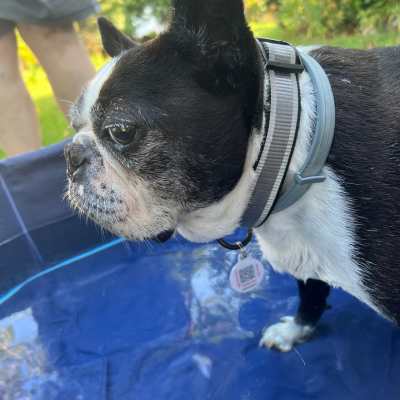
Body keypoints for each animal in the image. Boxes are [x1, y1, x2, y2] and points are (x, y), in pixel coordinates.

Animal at [65, 0, 400, 352]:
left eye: (121, 131)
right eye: (73, 126)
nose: (71, 155)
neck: (292, 154)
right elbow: (311, 293)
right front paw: (295, 330)